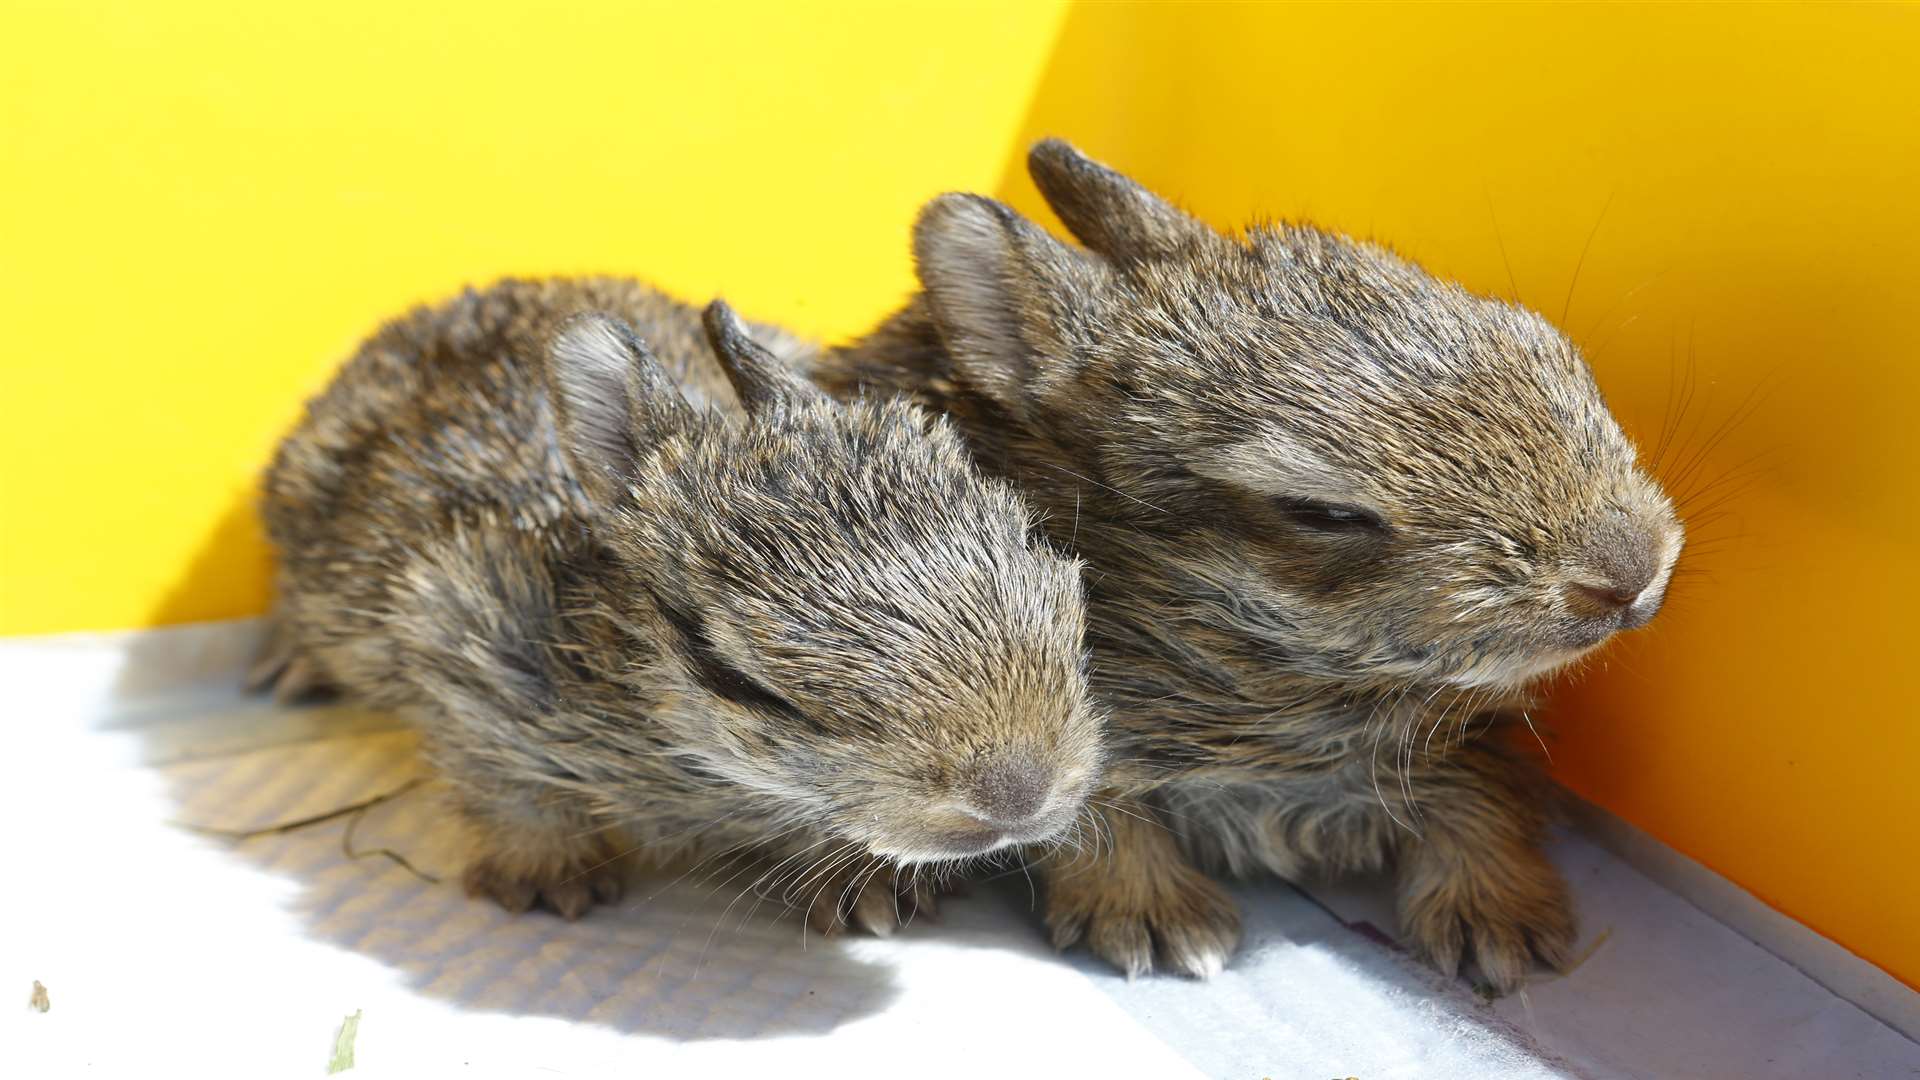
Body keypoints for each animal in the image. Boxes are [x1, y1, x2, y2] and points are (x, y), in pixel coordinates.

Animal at [259, 282, 1098, 930]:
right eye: (741, 682)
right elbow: (508, 786)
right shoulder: (462, 630)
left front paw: (867, 895)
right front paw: (548, 880)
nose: (1019, 794)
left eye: (1035, 544)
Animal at [817, 138, 1689, 991]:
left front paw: (1499, 924)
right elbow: (1089, 822)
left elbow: (1480, 793)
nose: (1630, 571)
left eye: (1547, 346)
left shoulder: (1470, 733)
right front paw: (1159, 922)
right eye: (1324, 513)